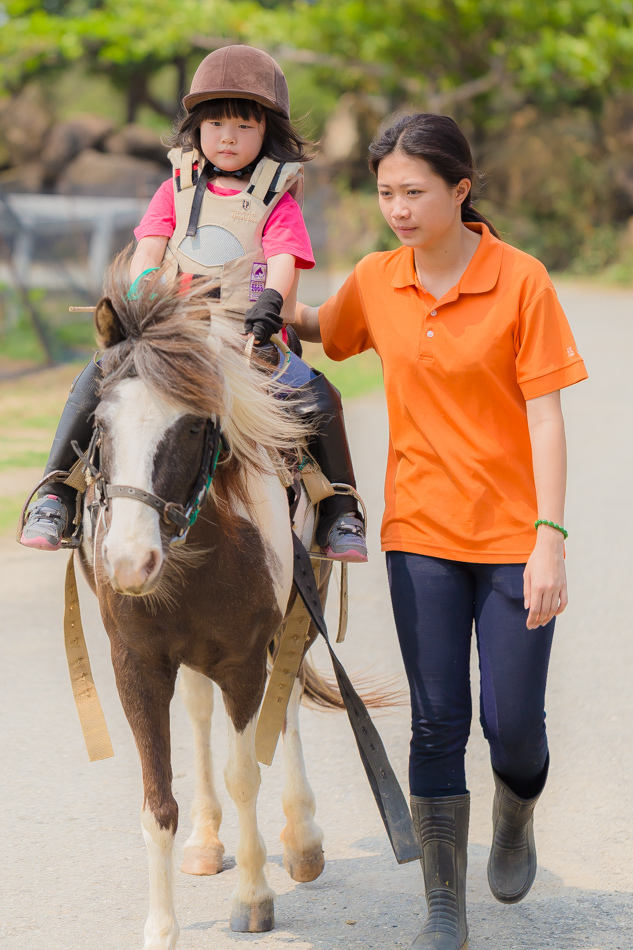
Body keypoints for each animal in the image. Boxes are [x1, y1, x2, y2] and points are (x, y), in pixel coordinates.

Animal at [76, 264, 338, 950]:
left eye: (194, 426)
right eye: (100, 427)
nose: (128, 563)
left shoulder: (244, 661)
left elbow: (245, 773)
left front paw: (253, 898)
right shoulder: (138, 665)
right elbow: (156, 801)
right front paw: (161, 928)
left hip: (300, 607)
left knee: (288, 697)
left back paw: (303, 840)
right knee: (198, 713)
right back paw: (205, 839)